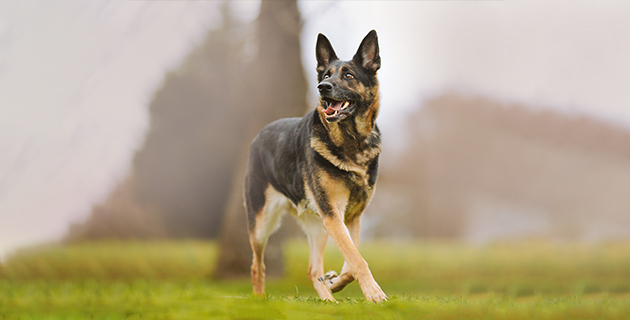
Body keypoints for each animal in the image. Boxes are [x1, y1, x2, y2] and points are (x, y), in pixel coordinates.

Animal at [246, 30, 386, 302]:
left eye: (349, 75)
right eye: (326, 75)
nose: (322, 87)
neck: (351, 142)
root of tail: (259, 135)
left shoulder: (350, 218)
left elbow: (351, 262)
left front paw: (335, 283)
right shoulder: (334, 216)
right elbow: (357, 259)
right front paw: (374, 293)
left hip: (318, 227)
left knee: (313, 270)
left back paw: (328, 300)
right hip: (261, 224)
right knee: (257, 266)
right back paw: (259, 301)